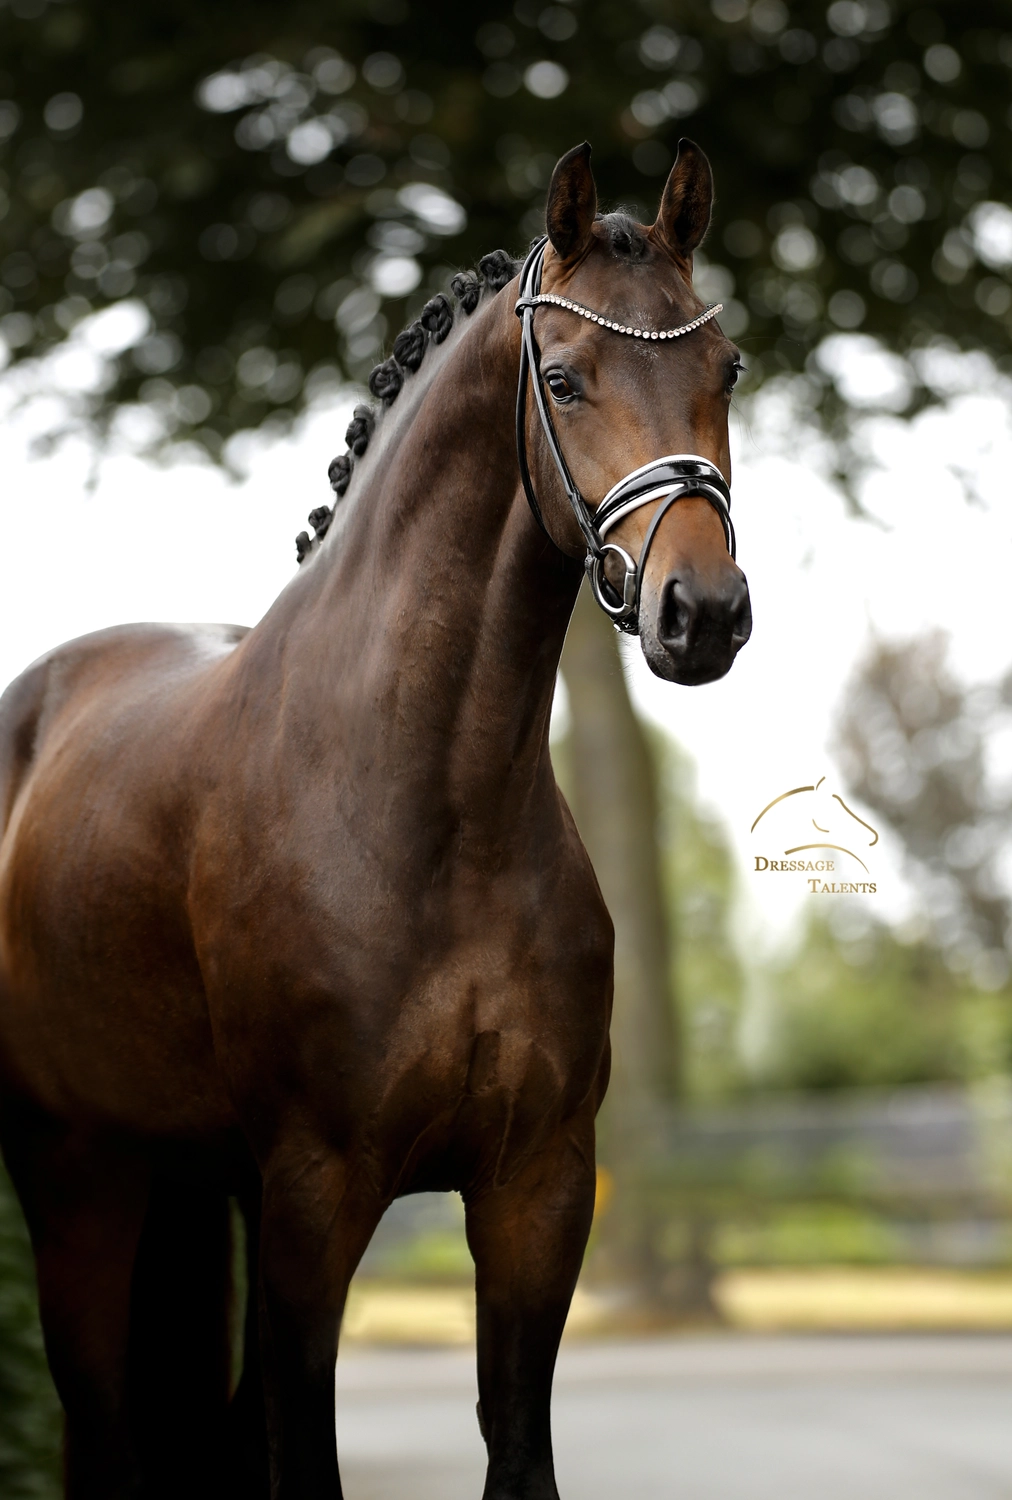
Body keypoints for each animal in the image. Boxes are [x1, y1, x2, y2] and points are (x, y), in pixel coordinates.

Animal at [0, 139, 751, 1498]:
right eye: (563, 377)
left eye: (724, 367)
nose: (702, 613)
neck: (432, 806)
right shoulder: (317, 1192)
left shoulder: (536, 1192)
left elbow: (517, 1452)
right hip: (78, 1179)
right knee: (103, 1428)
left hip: (194, 1183)